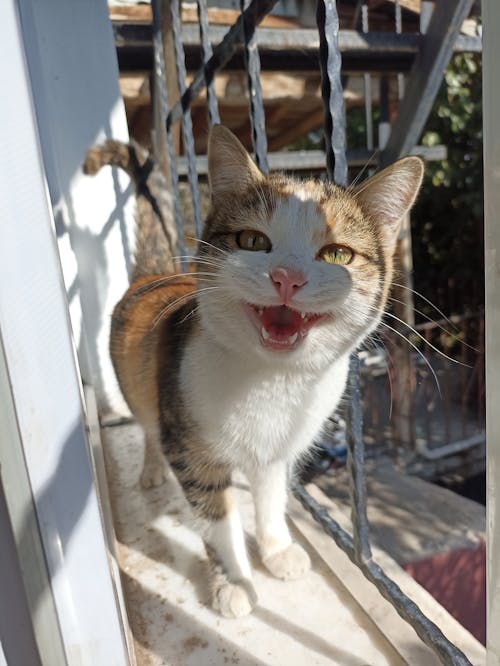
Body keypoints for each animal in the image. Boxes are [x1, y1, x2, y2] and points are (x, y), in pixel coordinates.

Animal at [90, 126, 422, 616]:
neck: (272, 382)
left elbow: (271, 497)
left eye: (338, 255)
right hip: (142, 390)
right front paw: (234, 582)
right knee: (148, 425)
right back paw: (151, 470)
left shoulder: (278, 450)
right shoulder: (191, 450)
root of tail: (153, 276)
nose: (287, 277)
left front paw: (276, 550)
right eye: (252, 241)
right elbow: (217, 520)